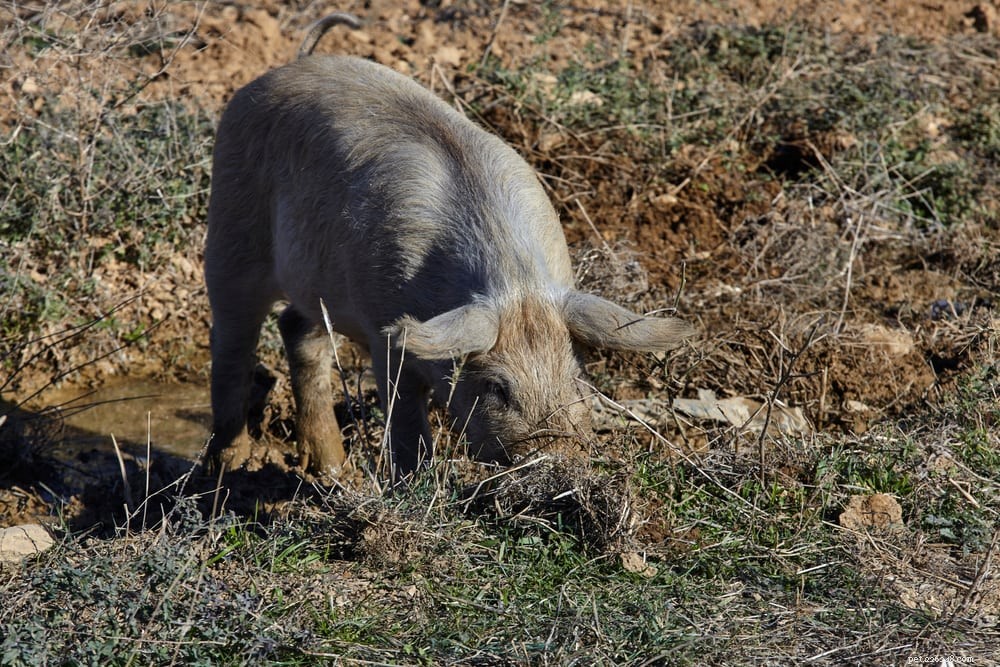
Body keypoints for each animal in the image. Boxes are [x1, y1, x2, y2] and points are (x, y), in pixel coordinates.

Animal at [204, 14, 695, 479]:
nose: (556, 458)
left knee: (297, 331)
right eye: (497, 388)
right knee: (232, 343)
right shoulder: (385, 337)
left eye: (577, 379)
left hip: (313, 279)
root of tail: (295, 62)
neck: (514, 281)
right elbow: (405, 424)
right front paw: (411, 485)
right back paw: (228, 467)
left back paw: (332, 471)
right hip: (230, 225)